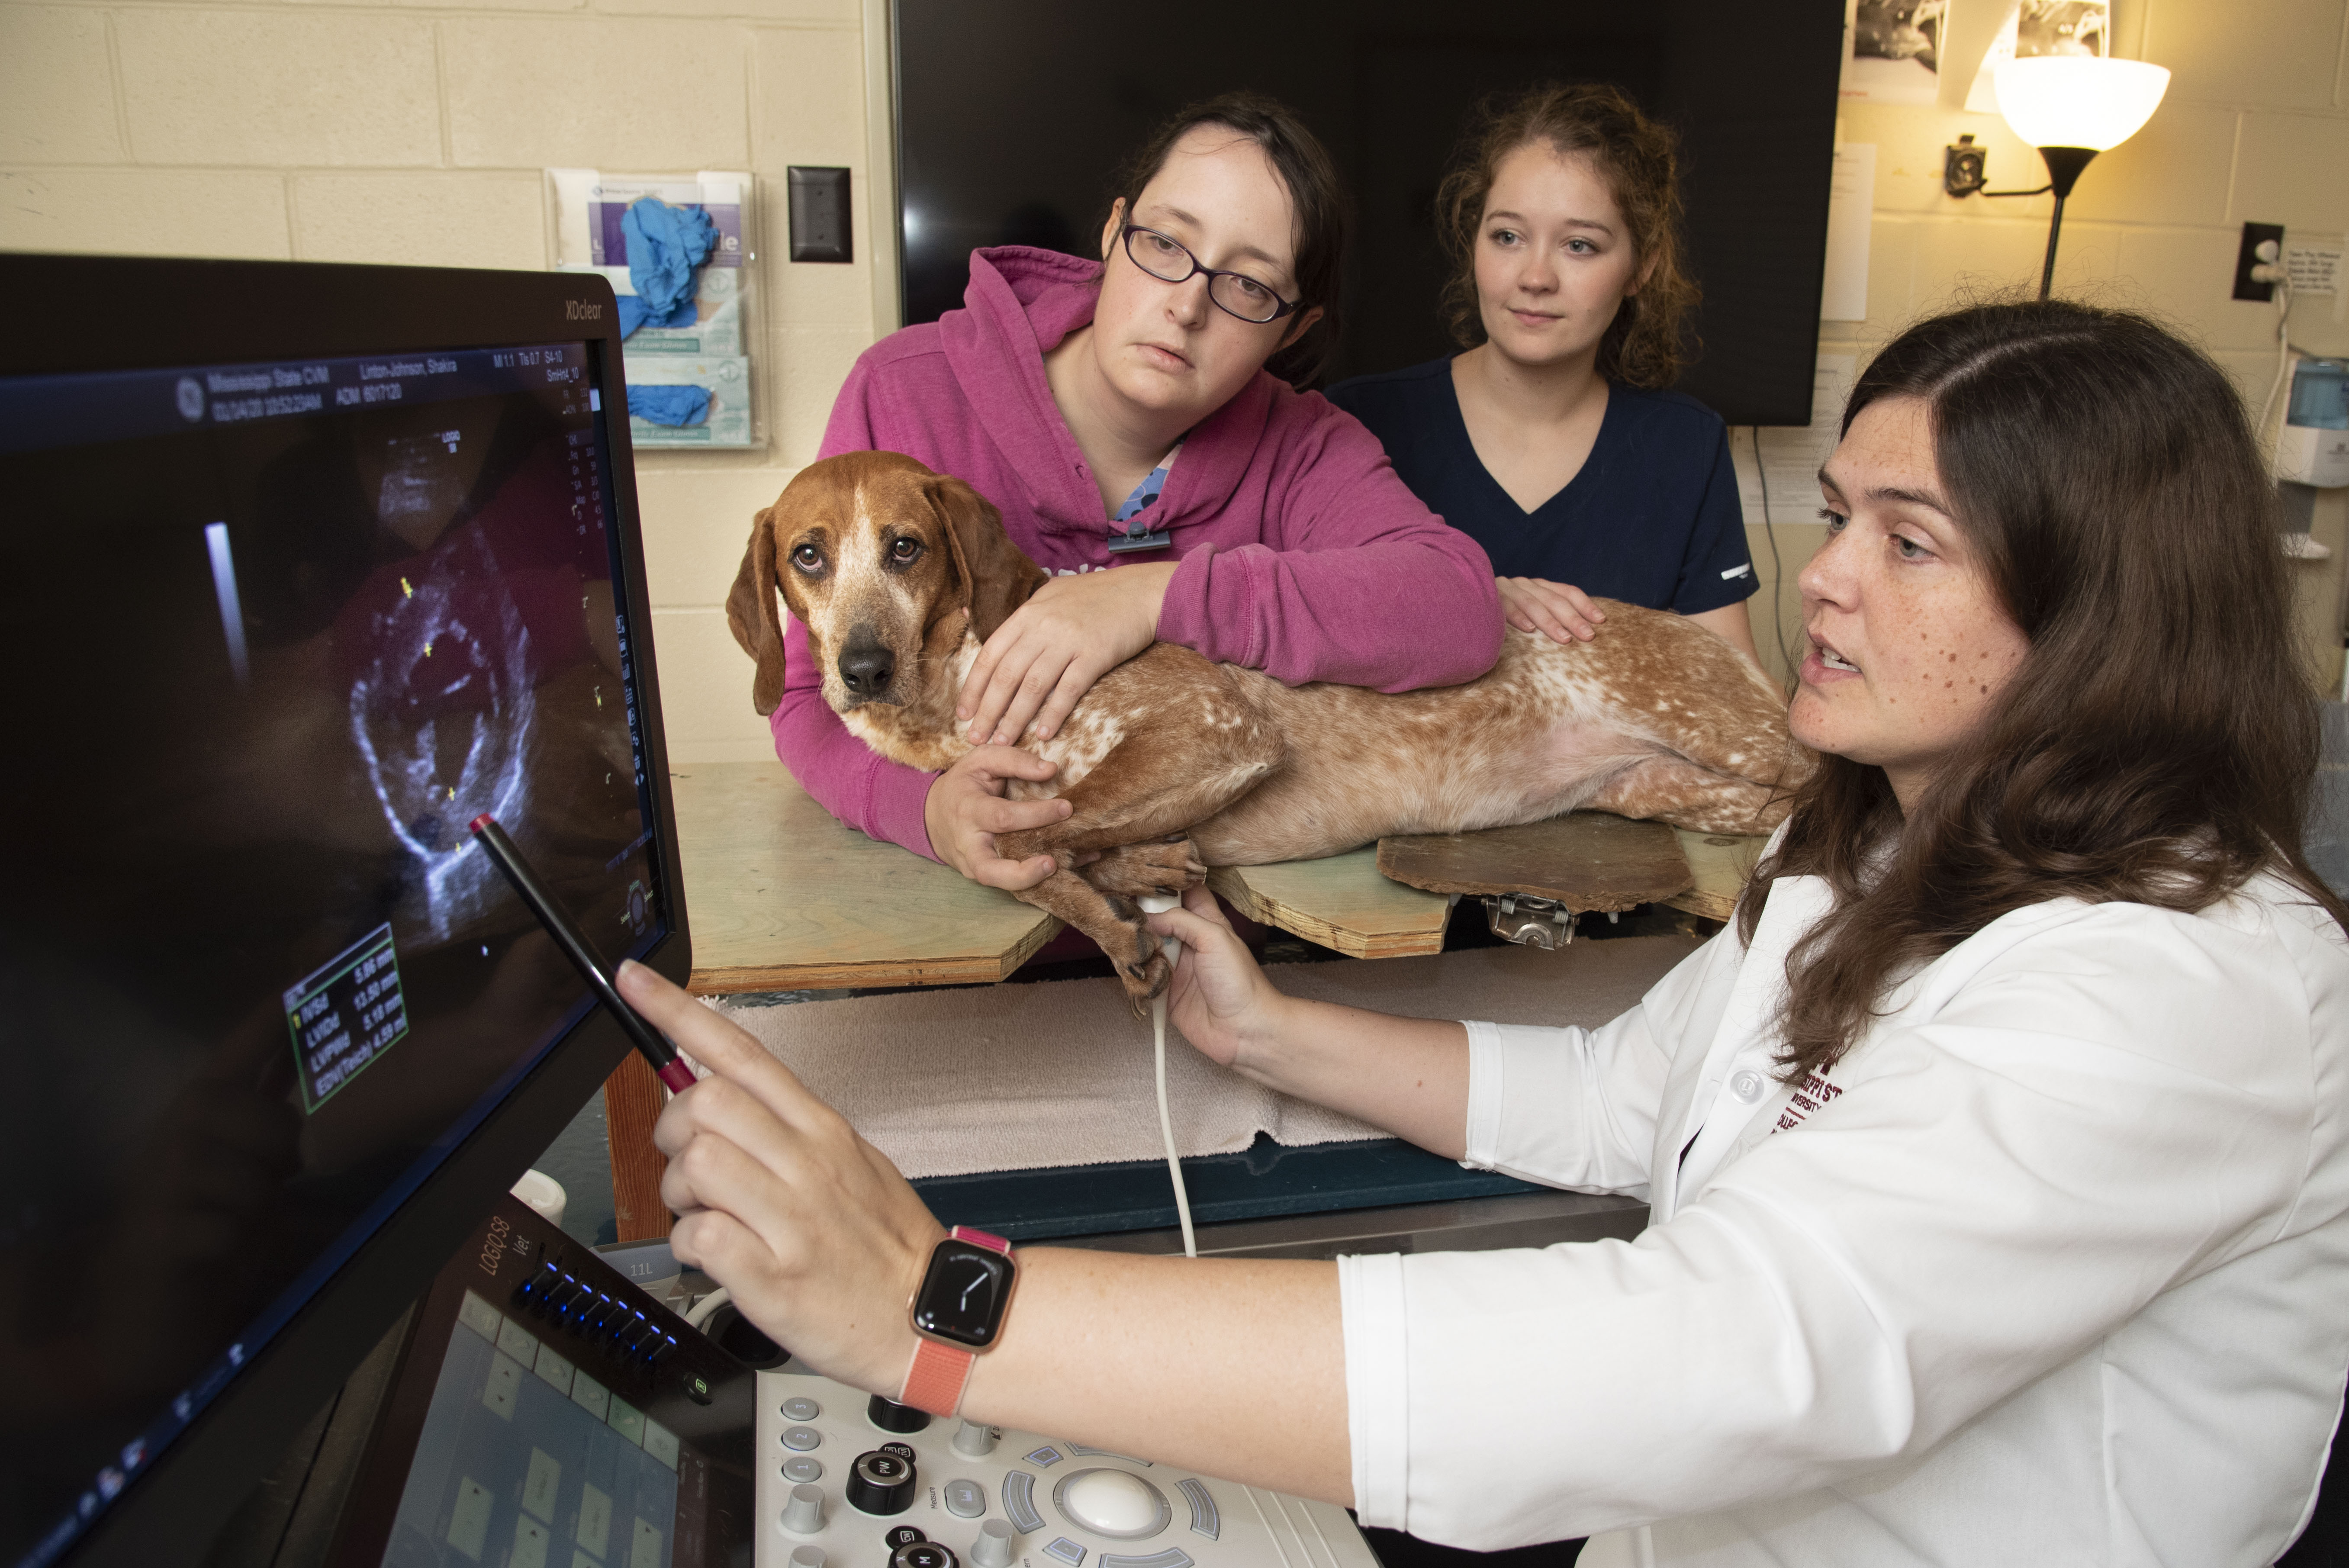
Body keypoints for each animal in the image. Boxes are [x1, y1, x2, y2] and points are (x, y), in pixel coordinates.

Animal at [723, 451, 1804, 1006]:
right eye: (808, 556)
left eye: (905, 548)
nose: (860, 669)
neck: (952, 686)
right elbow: (1032, 848)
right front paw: (1123, 900)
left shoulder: (1215, 729)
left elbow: (1050, 828)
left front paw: (1120, 886)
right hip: (1675, 789)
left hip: (1740, 735)